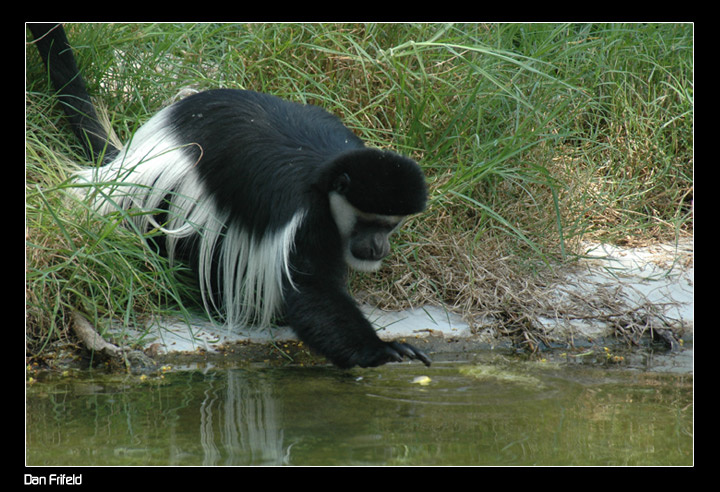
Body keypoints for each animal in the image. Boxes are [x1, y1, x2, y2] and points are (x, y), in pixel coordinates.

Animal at [30, 24, 431, 369]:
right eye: (368, 222)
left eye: (391, 226)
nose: (379, 247)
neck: (328, 175)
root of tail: (137, 153)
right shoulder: (304, 217)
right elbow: (309, 291)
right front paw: (380, 350)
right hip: (176, 193)